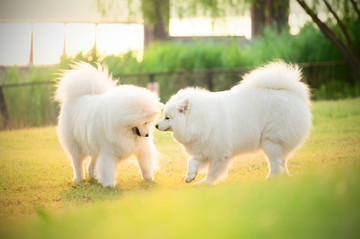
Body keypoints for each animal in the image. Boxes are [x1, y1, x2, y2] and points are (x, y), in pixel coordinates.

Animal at [158, 61, 312, 185]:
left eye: (167, 117)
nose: (156, 125)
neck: (199, 120)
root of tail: (290, 94)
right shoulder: (204, 150)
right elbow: (192, 162)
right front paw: (190, 176)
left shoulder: (219, 154)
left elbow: (212, 172)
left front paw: (205, 183)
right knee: (282, 162)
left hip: (270, 142)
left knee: (275, 164)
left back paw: (269, 179)